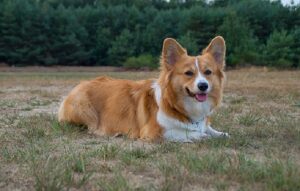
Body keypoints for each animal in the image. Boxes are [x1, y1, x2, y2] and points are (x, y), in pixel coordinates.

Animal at [57, 36, 229, 142]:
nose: (203, 86)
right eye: (188, 73)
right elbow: (186, 133)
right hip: (84, 108)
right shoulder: (154, 132)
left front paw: (221, 133)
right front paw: (200, 136)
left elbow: (210, 129)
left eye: (208, 72)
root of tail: (79, 84)